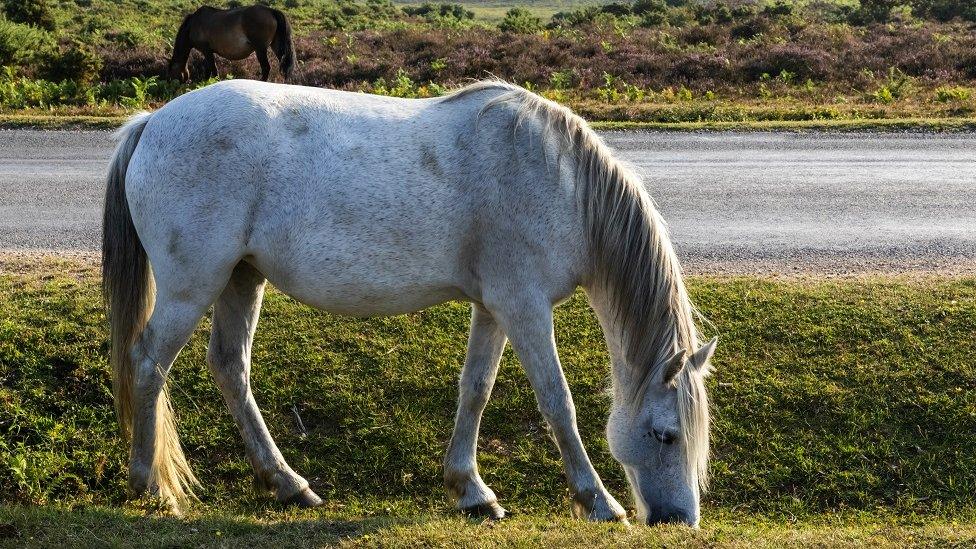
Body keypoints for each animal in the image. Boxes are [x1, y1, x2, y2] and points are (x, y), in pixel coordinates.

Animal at [103, 79, 716, 524]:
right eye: (665, 434)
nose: (679, 519)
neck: (557, 183)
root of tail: (154, 122)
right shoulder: (524, 307)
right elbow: (557, 403)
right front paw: (598, 501)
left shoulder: (494, 308)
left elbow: (476, 390)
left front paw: (471, 491)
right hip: (192, 286)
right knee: (149, 363)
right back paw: (149, 483)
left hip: (241, 279)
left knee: (230, 368)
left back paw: (288, 484)